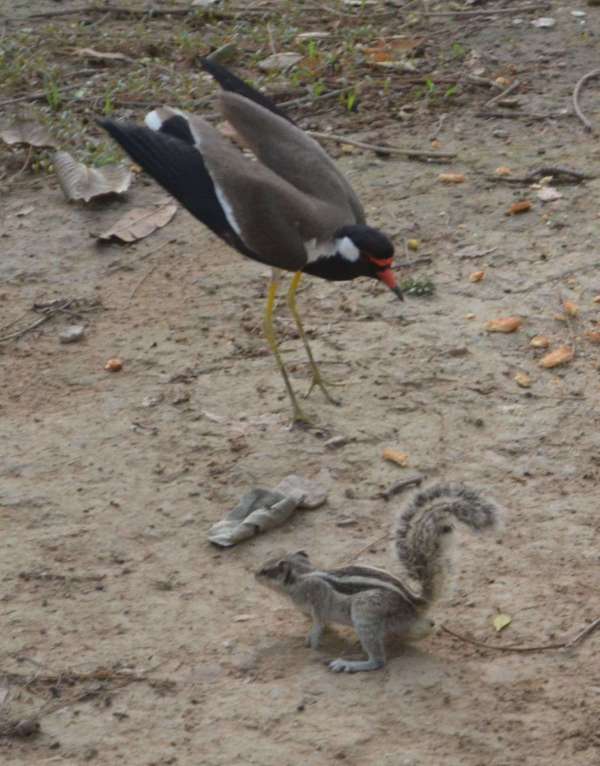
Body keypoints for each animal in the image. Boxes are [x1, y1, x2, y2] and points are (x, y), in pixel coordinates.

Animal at [256, 483, 502, 673]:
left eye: (268, 570)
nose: (254, 574)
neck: (303, 574)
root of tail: (415, 604)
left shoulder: (317, 595)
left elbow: (318, 622)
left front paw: (313, 640)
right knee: (424, 629)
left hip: (365, 613)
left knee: (379, 661)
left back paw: (350, 664)